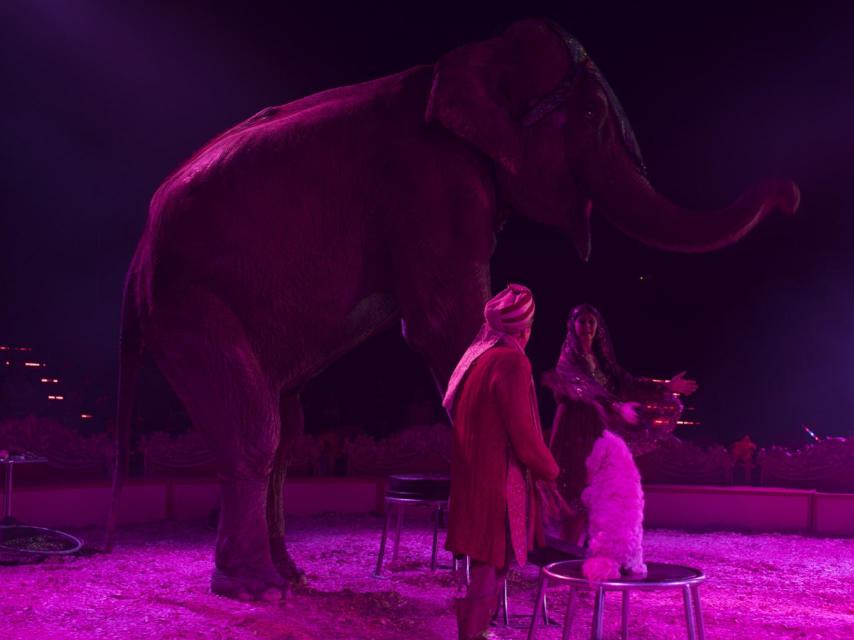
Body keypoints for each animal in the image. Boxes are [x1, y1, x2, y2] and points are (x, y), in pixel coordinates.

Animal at [106, 18, 798, 600]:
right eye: (591, 113)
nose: (789, 192)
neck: (471, 59)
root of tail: (135, 261)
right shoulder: (431, 179)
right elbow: (447, 323)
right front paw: (532, 548)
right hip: (186, 301)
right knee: (256, 428)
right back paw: (256, 588)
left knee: (286, 427)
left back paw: (291, 576)